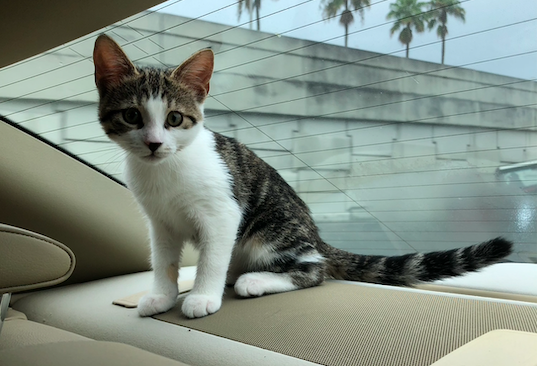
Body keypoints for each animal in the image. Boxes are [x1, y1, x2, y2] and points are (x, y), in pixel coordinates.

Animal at [92, 35, 510, 318]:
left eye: (175, 118)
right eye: (132, 116)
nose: (154, 143)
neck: (164, 171)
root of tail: (316, 235)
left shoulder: (223, 212)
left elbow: (211, 257)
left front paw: (202, 296)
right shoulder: (160, 222)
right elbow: (163, 261)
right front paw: (162, 295)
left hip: (270, 225)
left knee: (313, 270)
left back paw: (254, 279)